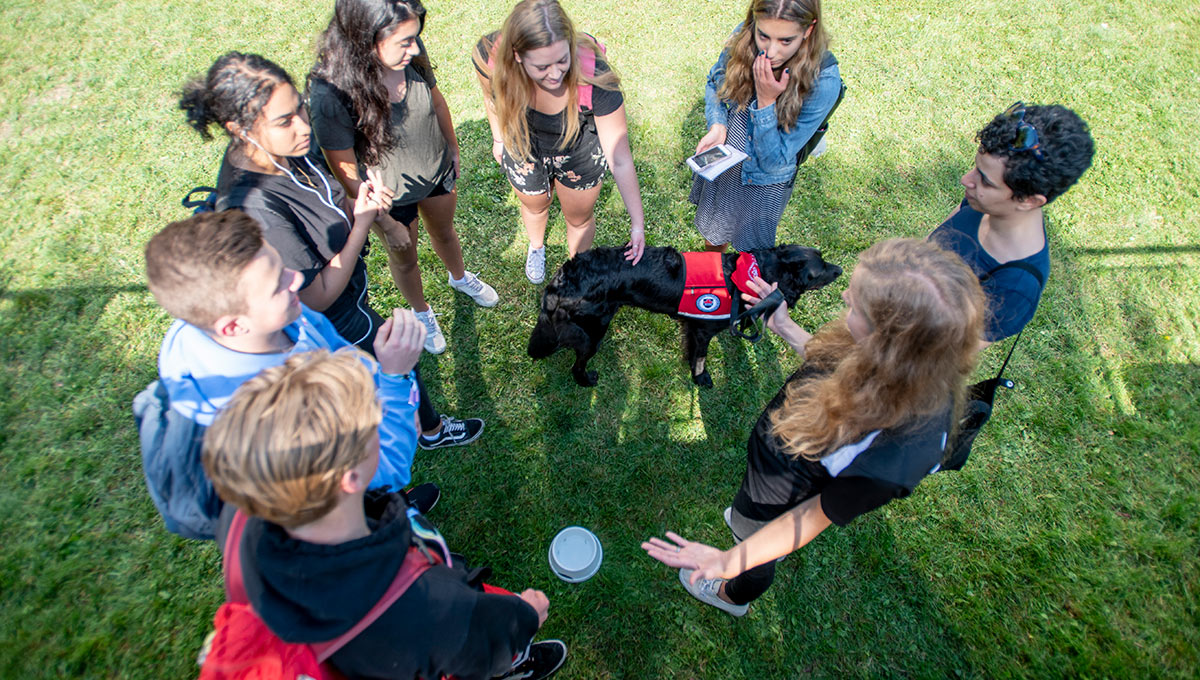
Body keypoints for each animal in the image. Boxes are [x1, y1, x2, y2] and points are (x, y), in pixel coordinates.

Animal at [530, 244, 840, 388]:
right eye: (819, 269)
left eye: (824, 258)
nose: (839, 269)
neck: (752, 274)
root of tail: (560, 281)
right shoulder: (703, 330)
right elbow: (700, 357)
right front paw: (701, 379)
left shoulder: (693, 328)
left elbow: (691, 351)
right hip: (594, 330)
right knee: (577, 363)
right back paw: (586, 379)